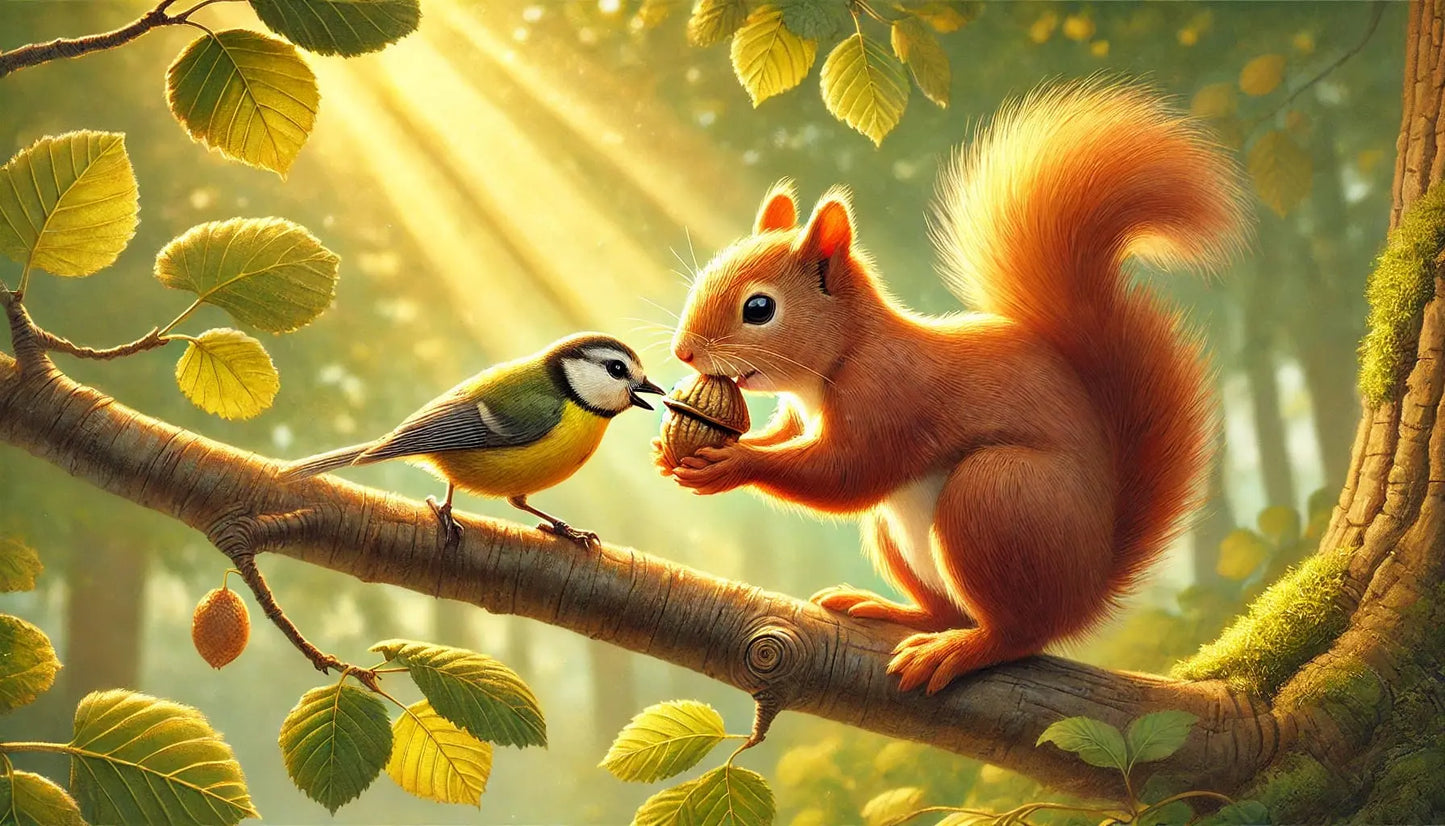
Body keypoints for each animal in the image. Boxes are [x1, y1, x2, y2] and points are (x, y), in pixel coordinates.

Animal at [655, 82, 1247, 694]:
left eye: (759, 308)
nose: (684, 351)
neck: (842, 355)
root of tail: (1088, 588)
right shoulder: (801, 413)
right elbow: (787, 438)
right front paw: (683, 450)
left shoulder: (890, 395)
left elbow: (848, 473)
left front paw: (735, 464)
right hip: (900, 533)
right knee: (947, 609)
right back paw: (892, 610)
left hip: (998, 497)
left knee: (1019, 634)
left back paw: (960, 649)